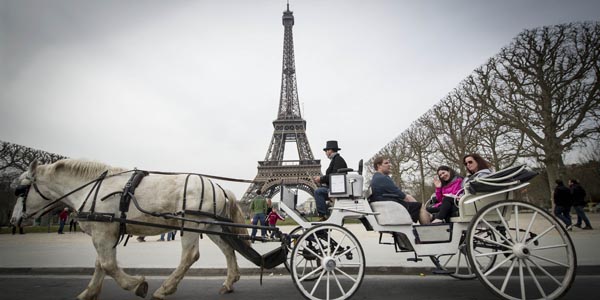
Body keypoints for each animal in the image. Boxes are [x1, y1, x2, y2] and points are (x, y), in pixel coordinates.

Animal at [9, 158, 248, 298]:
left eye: (21, 190)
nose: (13, 221)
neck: (93, 187)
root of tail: (220, 186)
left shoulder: (103, 231)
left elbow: (108, 265)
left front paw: (136, 284)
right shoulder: (106, 231)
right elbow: (101, 264)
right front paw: (89, 293)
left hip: (190, 224)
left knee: (190, 255)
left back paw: (165, 289)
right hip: (211, 225)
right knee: (228, 249)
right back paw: (229, 282)